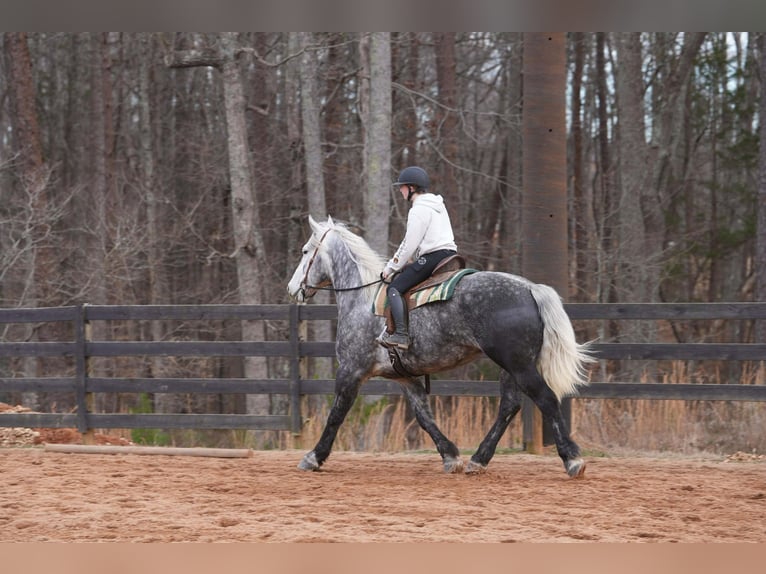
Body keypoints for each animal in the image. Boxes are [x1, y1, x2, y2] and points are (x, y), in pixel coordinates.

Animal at [287, 215, 594, 477]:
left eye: (304, 251)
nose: (292, 288)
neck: (363, 300)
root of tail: (531, 288)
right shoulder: (405, 378)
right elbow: (424, 417)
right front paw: (450, 456)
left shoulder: (351, 370)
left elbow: (336, 414)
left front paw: (314, 456)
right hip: (511, 367)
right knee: (509, 406)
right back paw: (478, 460)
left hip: (519, 366)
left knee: (546, 399)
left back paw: (572, 459)